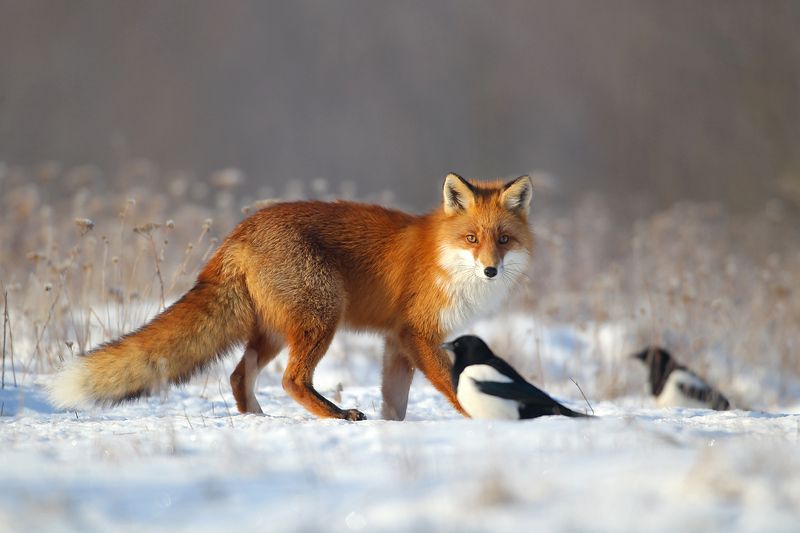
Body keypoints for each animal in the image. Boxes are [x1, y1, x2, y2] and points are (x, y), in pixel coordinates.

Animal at [48, 173, 534, 421]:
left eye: (503, 240)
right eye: (471, 239)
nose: (490, 269)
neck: (442, 258)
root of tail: (239, 232)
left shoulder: (397, 341)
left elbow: (395, 403)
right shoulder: (416, 334)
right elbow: (453, 386)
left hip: (276, 331)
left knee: (238, 375)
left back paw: (256, 420)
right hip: (322, 318)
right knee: (291, 380)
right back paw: (334, 415)